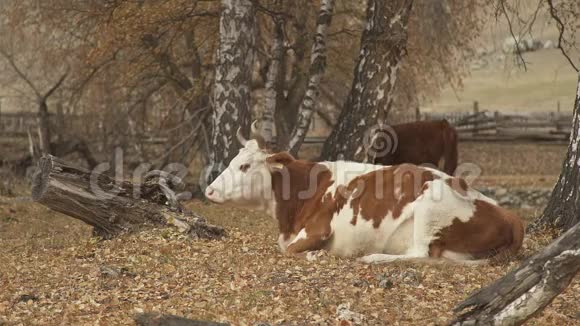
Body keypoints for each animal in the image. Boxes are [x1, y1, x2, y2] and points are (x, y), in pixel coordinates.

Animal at [206, 129, 524, 264]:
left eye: (244, 166)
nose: (209, 189)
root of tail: (510, 215)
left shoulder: (317, 230)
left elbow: (287, 250)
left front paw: (315, 254)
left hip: (429, 208)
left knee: (419, 254)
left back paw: (373, 258)